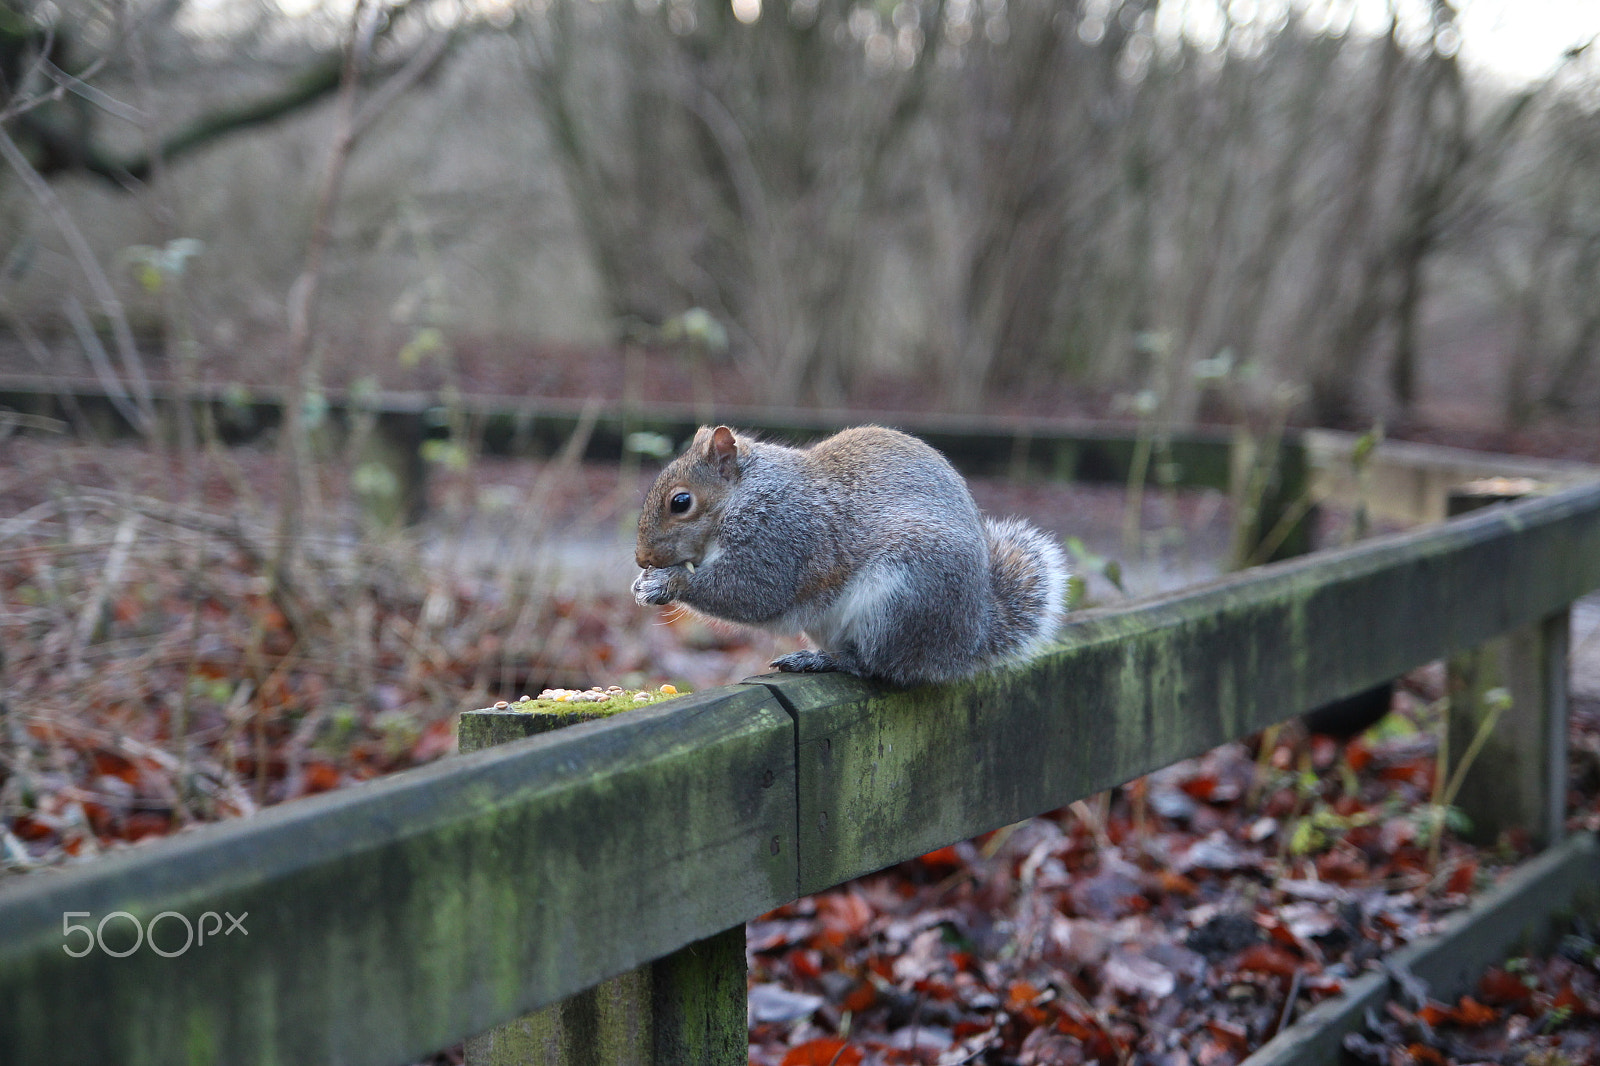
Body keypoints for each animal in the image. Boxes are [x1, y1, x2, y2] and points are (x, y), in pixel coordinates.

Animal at [631, 425, 1069, 686]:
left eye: (681, 502)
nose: (641, 558)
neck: (745, 494)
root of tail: (968, 639)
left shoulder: (781, 535)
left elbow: (753, 592)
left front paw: (665, 583)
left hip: (900, 601)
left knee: (877, 667)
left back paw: (824, 662)